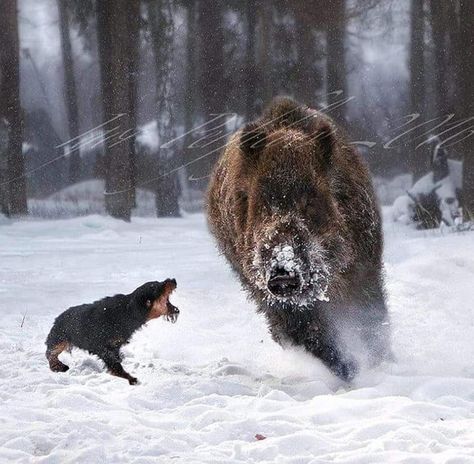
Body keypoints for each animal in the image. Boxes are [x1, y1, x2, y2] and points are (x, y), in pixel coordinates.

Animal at [45, 280, 179, 384]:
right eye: (157, 288)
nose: (173, 280)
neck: (128, 311)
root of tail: (58, 318)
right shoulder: (104, 347)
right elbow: (115, 365)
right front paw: (130, 378)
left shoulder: (115, 345)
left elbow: (117, 359)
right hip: (60, 338)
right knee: (50, 353)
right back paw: (57, 366)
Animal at [206, 98, 388, 380]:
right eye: (262, 202)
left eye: (310, 199)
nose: (282, 272)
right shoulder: (269, 295)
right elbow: (305, 331)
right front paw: (348, 371)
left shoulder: (364, 269)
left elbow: (370, 319)